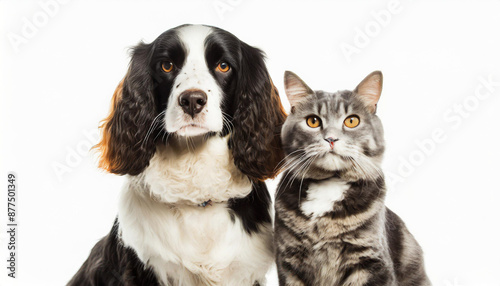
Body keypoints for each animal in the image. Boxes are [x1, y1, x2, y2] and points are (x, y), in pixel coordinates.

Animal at [274, 71, 430, 286]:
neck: (329, 186)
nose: (331, 138)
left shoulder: (370, 261)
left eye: (351, 121)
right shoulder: (289, 263)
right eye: (313, 121)